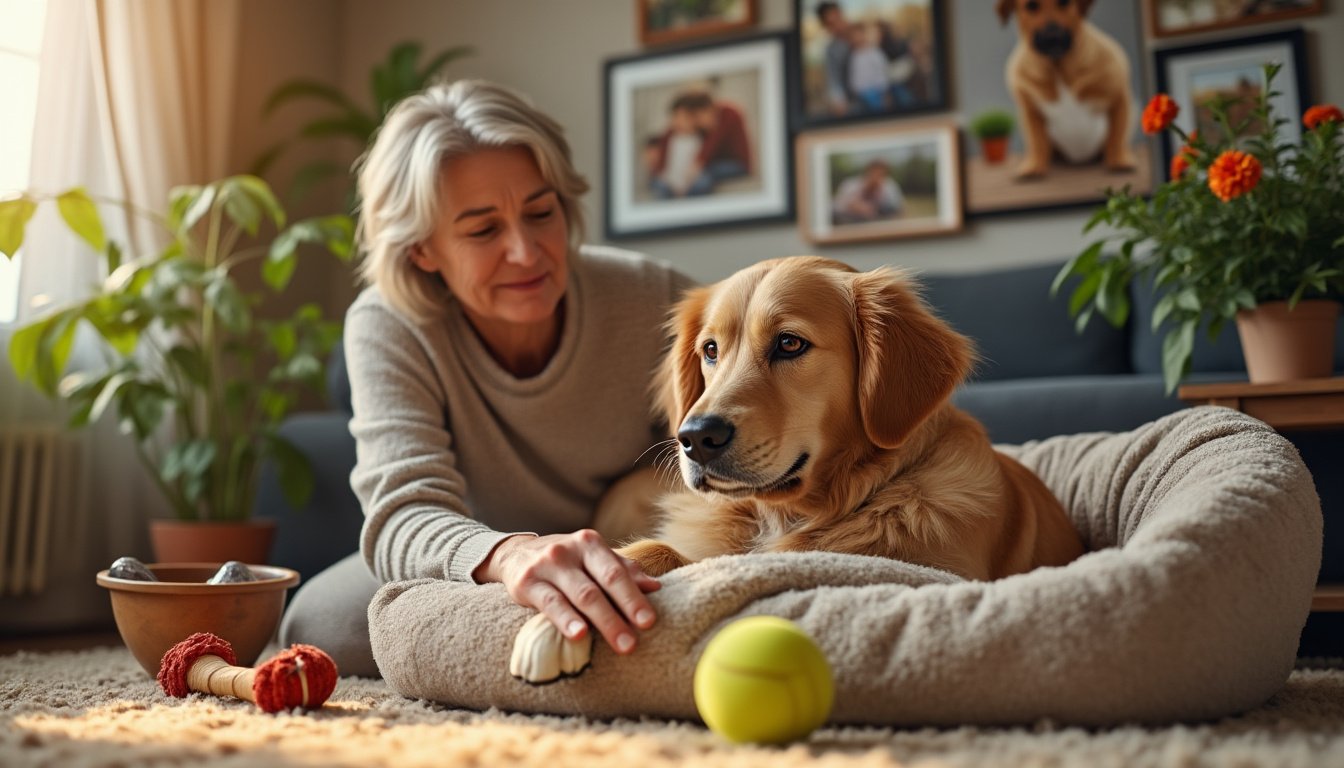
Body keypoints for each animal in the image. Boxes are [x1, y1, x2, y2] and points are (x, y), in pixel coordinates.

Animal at [508, 259, 1085, 685]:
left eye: (790, 343)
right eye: (710, 350)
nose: (694, 438)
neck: (785, 514)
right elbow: (656, 551)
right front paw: (556, 620)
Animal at [999, 0, 1134, 177]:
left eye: (1064, 3)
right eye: (1031, 6)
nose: (1052, 36)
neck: (1058, 68)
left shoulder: (1118, 97)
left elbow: (1117, 135)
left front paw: (1119, 159)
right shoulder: (1030, 109)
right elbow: (1036, 141)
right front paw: (1034, 165)